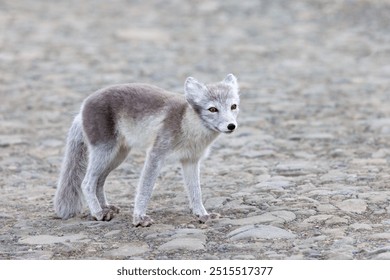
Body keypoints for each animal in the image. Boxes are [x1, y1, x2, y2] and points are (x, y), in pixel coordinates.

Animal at [53, 74, 239, 225]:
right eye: (212, 109)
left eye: (233, 106)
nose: (231, 126)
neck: (188, 126)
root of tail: (82, 108)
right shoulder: (156, 154)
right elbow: (145, 189)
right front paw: (139, 218)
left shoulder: (191, 160)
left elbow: (196, 191)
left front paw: (202, 215)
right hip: (104, 152)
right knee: (87, 183)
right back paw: (98, 213)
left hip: (117, 156)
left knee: (99, 181)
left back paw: (106, 207)